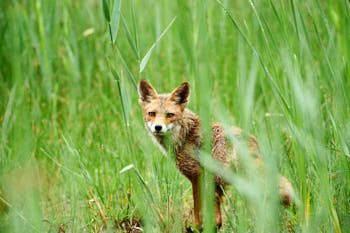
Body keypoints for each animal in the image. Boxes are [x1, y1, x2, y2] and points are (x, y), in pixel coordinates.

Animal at [137, 79, 296, 228]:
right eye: (152, 114)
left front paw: (197, 227)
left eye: (170, 115)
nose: (158, 127)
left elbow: (197, 210)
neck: (184, 134)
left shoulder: (196, 175)